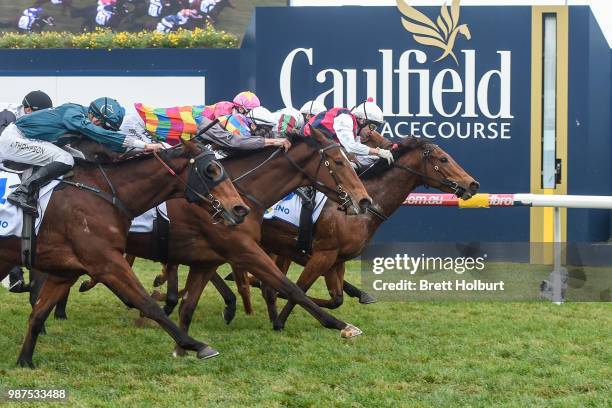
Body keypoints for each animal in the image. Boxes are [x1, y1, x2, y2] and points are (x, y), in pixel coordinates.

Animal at [0, 140, 249, 366]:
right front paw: (197, 345)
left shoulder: (65, 271)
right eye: (211, 170)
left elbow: (38, 314)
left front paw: (25, 361)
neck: (106, 192)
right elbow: (147, 304)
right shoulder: (106, 262)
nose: (240, 209)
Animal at [252, 136, 478, 328]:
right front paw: (280, 322)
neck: (362, 208)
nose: (473, 184)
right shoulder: (324, 253)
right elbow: (299, 288)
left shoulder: (336, 259)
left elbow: (336, 299)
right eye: (443, 159)